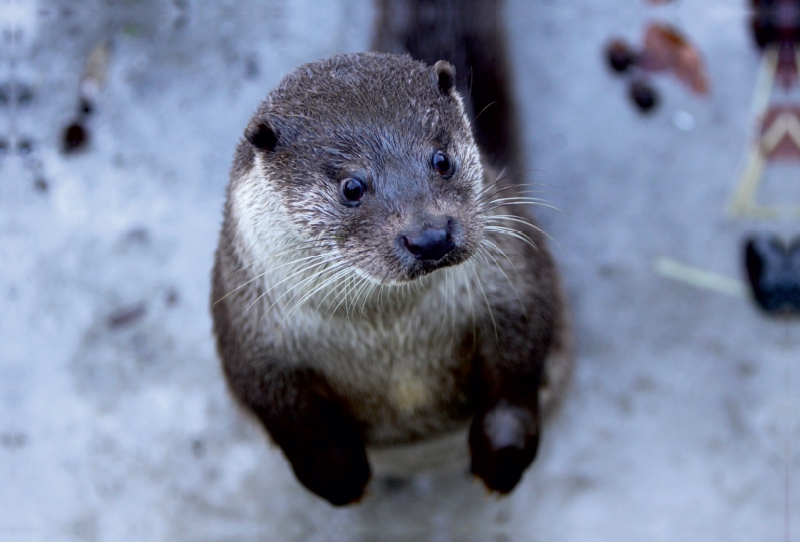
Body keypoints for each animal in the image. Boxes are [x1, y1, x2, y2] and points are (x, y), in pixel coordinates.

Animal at [212, 5, 572, 510]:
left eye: (441, 159)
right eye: (352, 187)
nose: (430, 235)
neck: (390, 333)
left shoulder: (515, 280)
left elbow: (519, 368)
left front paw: (502, 457)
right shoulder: (251, 337)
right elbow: (291, 420)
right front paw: (338, 478)